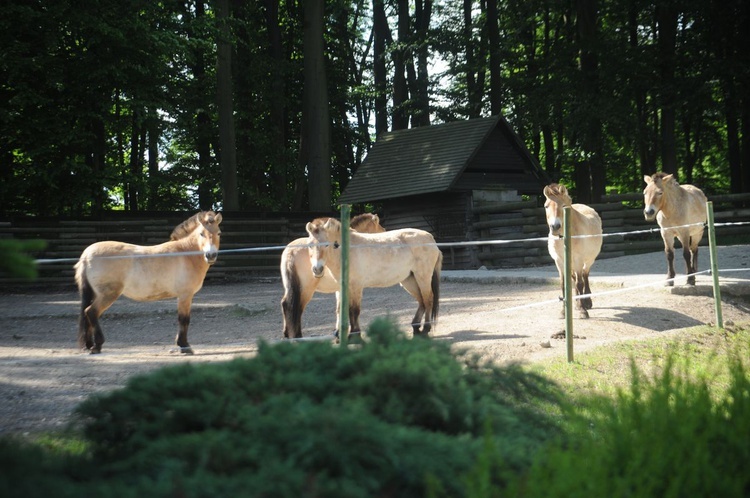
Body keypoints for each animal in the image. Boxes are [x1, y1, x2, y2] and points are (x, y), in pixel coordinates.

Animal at [75, 210, 222, 354]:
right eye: (201, 233)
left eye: (218, 232)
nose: (210, 255)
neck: (185, 253)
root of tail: (87, 254)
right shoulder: (185, 296)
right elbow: (184, 320)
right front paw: (184, 345)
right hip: (108, 295)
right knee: (91, 312)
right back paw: (97, 346)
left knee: (87, 314)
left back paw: (89, 345)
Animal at [306, 217, 446, 336]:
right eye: (310, 245)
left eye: (326, 244)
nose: (317, 269)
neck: (346, 251)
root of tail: (431, 239)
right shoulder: (342, 289)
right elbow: (341, 310)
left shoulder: (356, 287)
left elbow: (354, 310)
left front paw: (355, 335)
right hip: (409, 280)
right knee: (422, 301)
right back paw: (416, 327)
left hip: (423, 277)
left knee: (428, 299)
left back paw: (426, 328)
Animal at [544, 184, 604, 320]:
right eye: (546, 206)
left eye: (563, 206)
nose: (555, 227)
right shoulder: (559, 261)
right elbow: (564, 285)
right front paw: (563, 312)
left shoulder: (578, 260)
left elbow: (580, 283)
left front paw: (583, 311)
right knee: (574, 279)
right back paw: (577, 303)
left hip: (588, 261)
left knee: (585, 276)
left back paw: (587, 302)